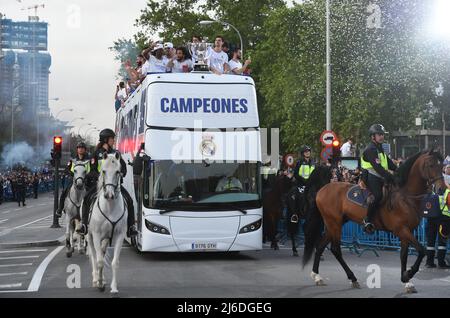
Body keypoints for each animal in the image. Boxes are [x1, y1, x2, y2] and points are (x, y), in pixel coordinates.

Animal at [87, 153, 127, 294]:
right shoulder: (96, 235)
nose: (109, 195)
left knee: (102, 253)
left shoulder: (120, 235)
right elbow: (99, 261)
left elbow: (114, 262)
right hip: (90, 236)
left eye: (118, 172)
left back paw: (102, 278)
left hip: (105, 238)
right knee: (94, 256)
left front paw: (113, 288)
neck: (110, 207)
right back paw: (96, 279)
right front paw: (99, 284)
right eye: (103, 171)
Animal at [302, 150, 446, 294]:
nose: (442, 189)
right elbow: (422, 250)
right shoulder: (401, 230)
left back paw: (317, 276)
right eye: (431, 165)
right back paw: (352, 278)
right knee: (335, 249)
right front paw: (408, 275)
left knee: (321, 246)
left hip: (334, 223)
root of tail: (322, 189)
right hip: (334, 223)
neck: (405, 197)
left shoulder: (406, 232)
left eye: (442, 165)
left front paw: (407, 282)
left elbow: (404, 255)